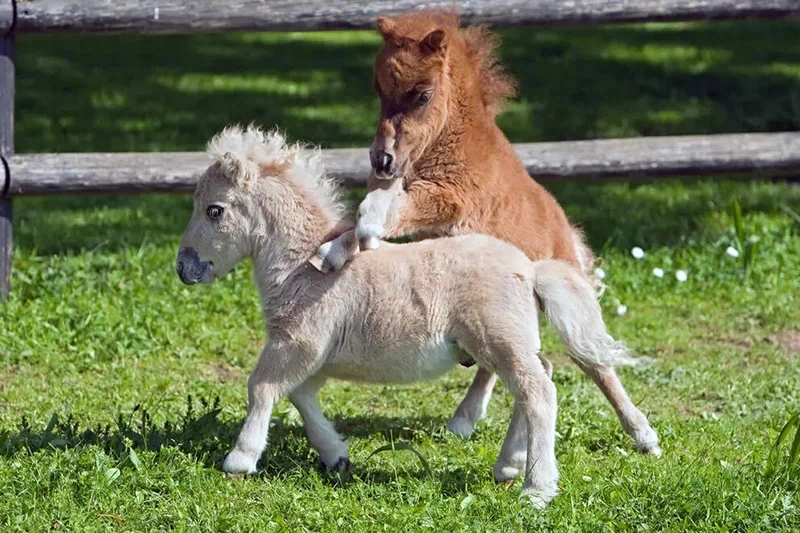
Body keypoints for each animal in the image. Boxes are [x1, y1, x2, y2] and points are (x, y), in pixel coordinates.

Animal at [175, 124, 656, 508]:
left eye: (214, 210)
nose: (184, 268)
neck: (300, 267)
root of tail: (530, 269)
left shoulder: (297, 343)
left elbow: (261, 387)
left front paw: (239, 459)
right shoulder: (315, 357)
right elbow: (300, 395)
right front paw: (336, 455)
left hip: (500, 340)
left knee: (538, 392)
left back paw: (536, 488)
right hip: (509, 344)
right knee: (540, 379)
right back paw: (508, 466)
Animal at [316, 8, 660, 458]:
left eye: (423, 94)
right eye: (379, 90)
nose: (382, 159)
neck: (454, 144)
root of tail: (565, 230)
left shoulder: (449, 199)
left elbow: (382, 211)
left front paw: (363, 232)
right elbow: (373, 212)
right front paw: (332, 253)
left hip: (563, 296)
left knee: (591, 360)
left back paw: (643, 434)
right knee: (505, 361)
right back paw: (466, 420)